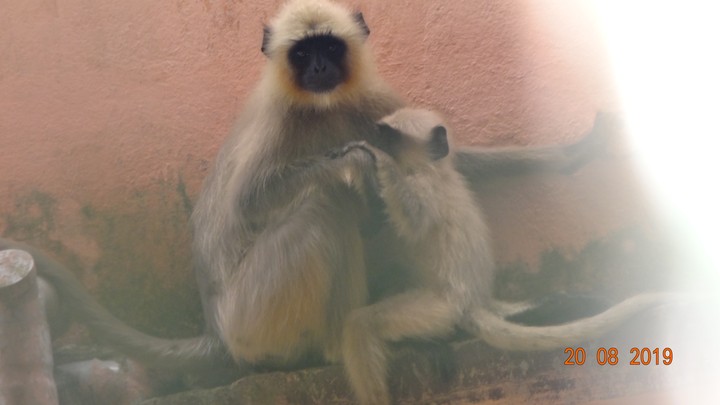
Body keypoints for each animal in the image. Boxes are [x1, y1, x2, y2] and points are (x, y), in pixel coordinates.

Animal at [337, 108, 681, 405]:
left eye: (388, 139)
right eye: (381, 132)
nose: (373, 138)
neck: (434, 169)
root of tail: (474, 302)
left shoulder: (426, 187)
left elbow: (412, 216)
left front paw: (374, 159)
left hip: (440, 309)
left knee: (360, 325)